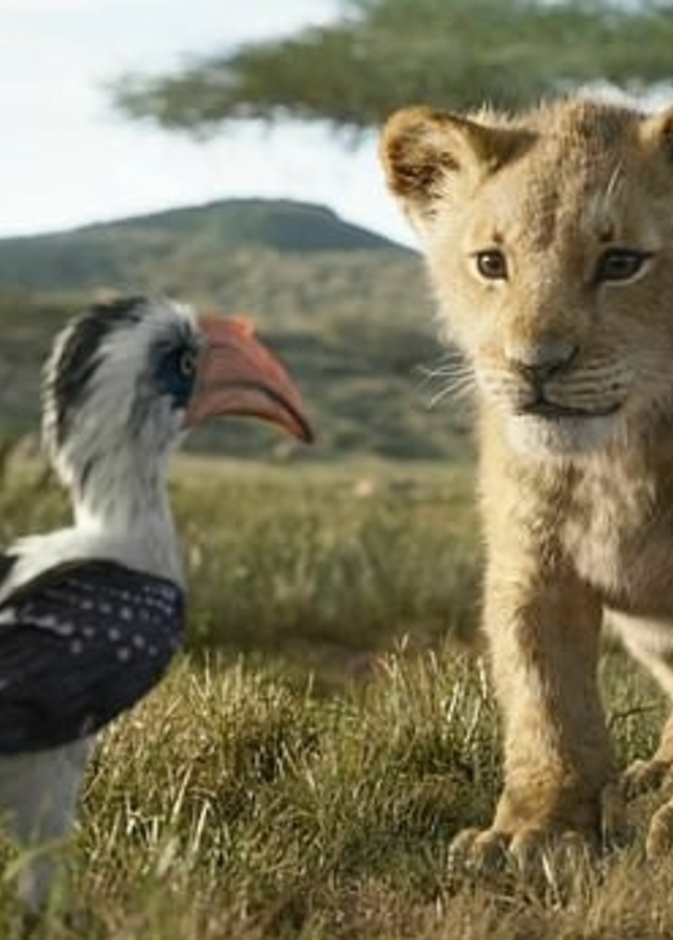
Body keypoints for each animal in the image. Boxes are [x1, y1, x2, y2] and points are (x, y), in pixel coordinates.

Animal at [380, 95, 673, 868]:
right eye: (491, 263)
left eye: (621, 262)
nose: (534, 365)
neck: (616, 461)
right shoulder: (530, 563)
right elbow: (545, 698)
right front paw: (536, 831)